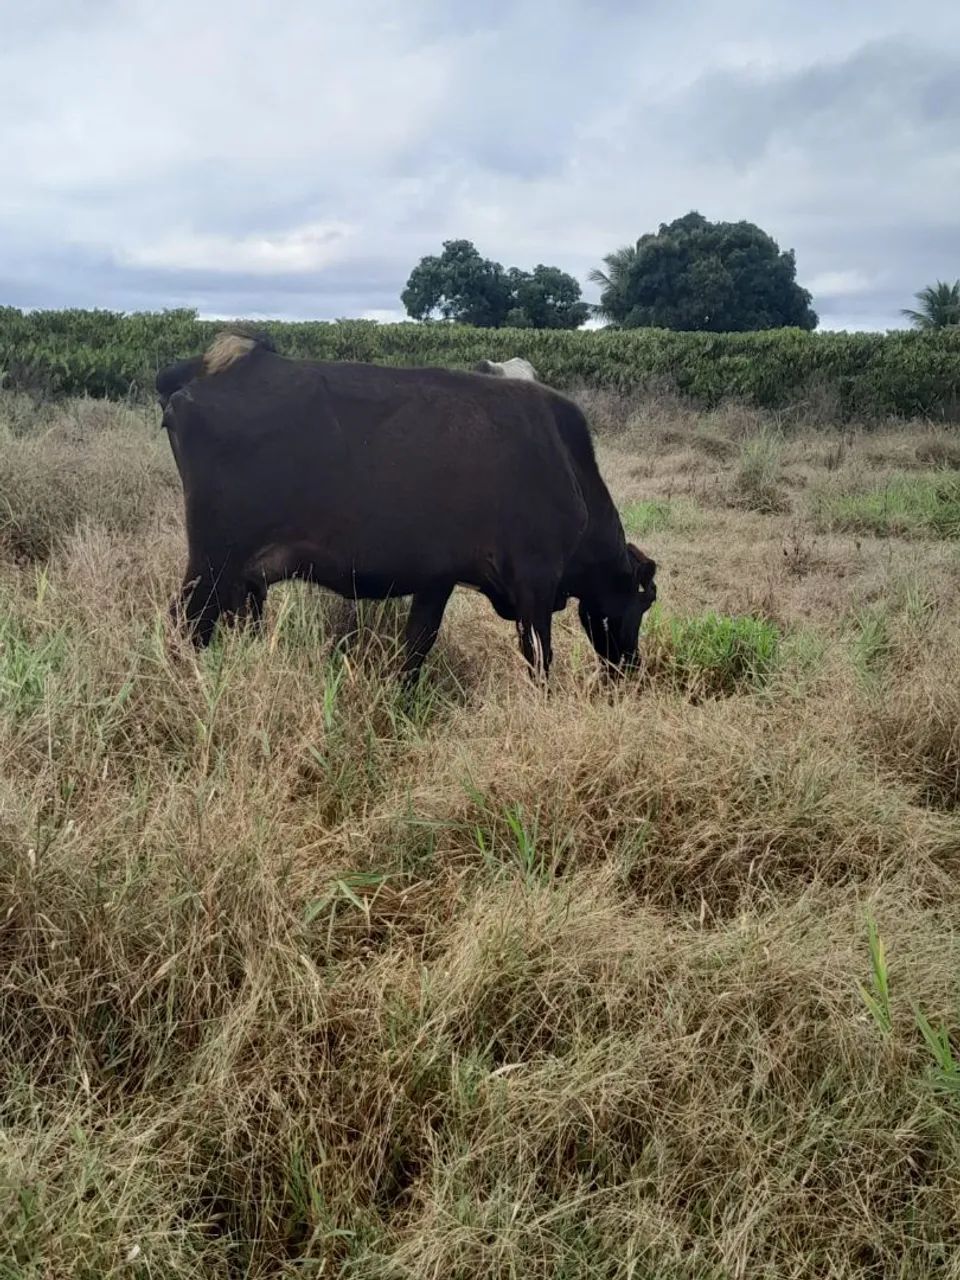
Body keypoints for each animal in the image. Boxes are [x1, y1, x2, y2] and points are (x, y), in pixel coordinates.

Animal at [157, 332, 657, 684]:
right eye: (642, 602)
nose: (630, 669)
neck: (567, 464)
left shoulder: (438, 578)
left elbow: (417, 645)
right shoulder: (535, 578)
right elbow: (540, 659)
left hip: (240, 578)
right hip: (211, 565)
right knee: (186, 630)